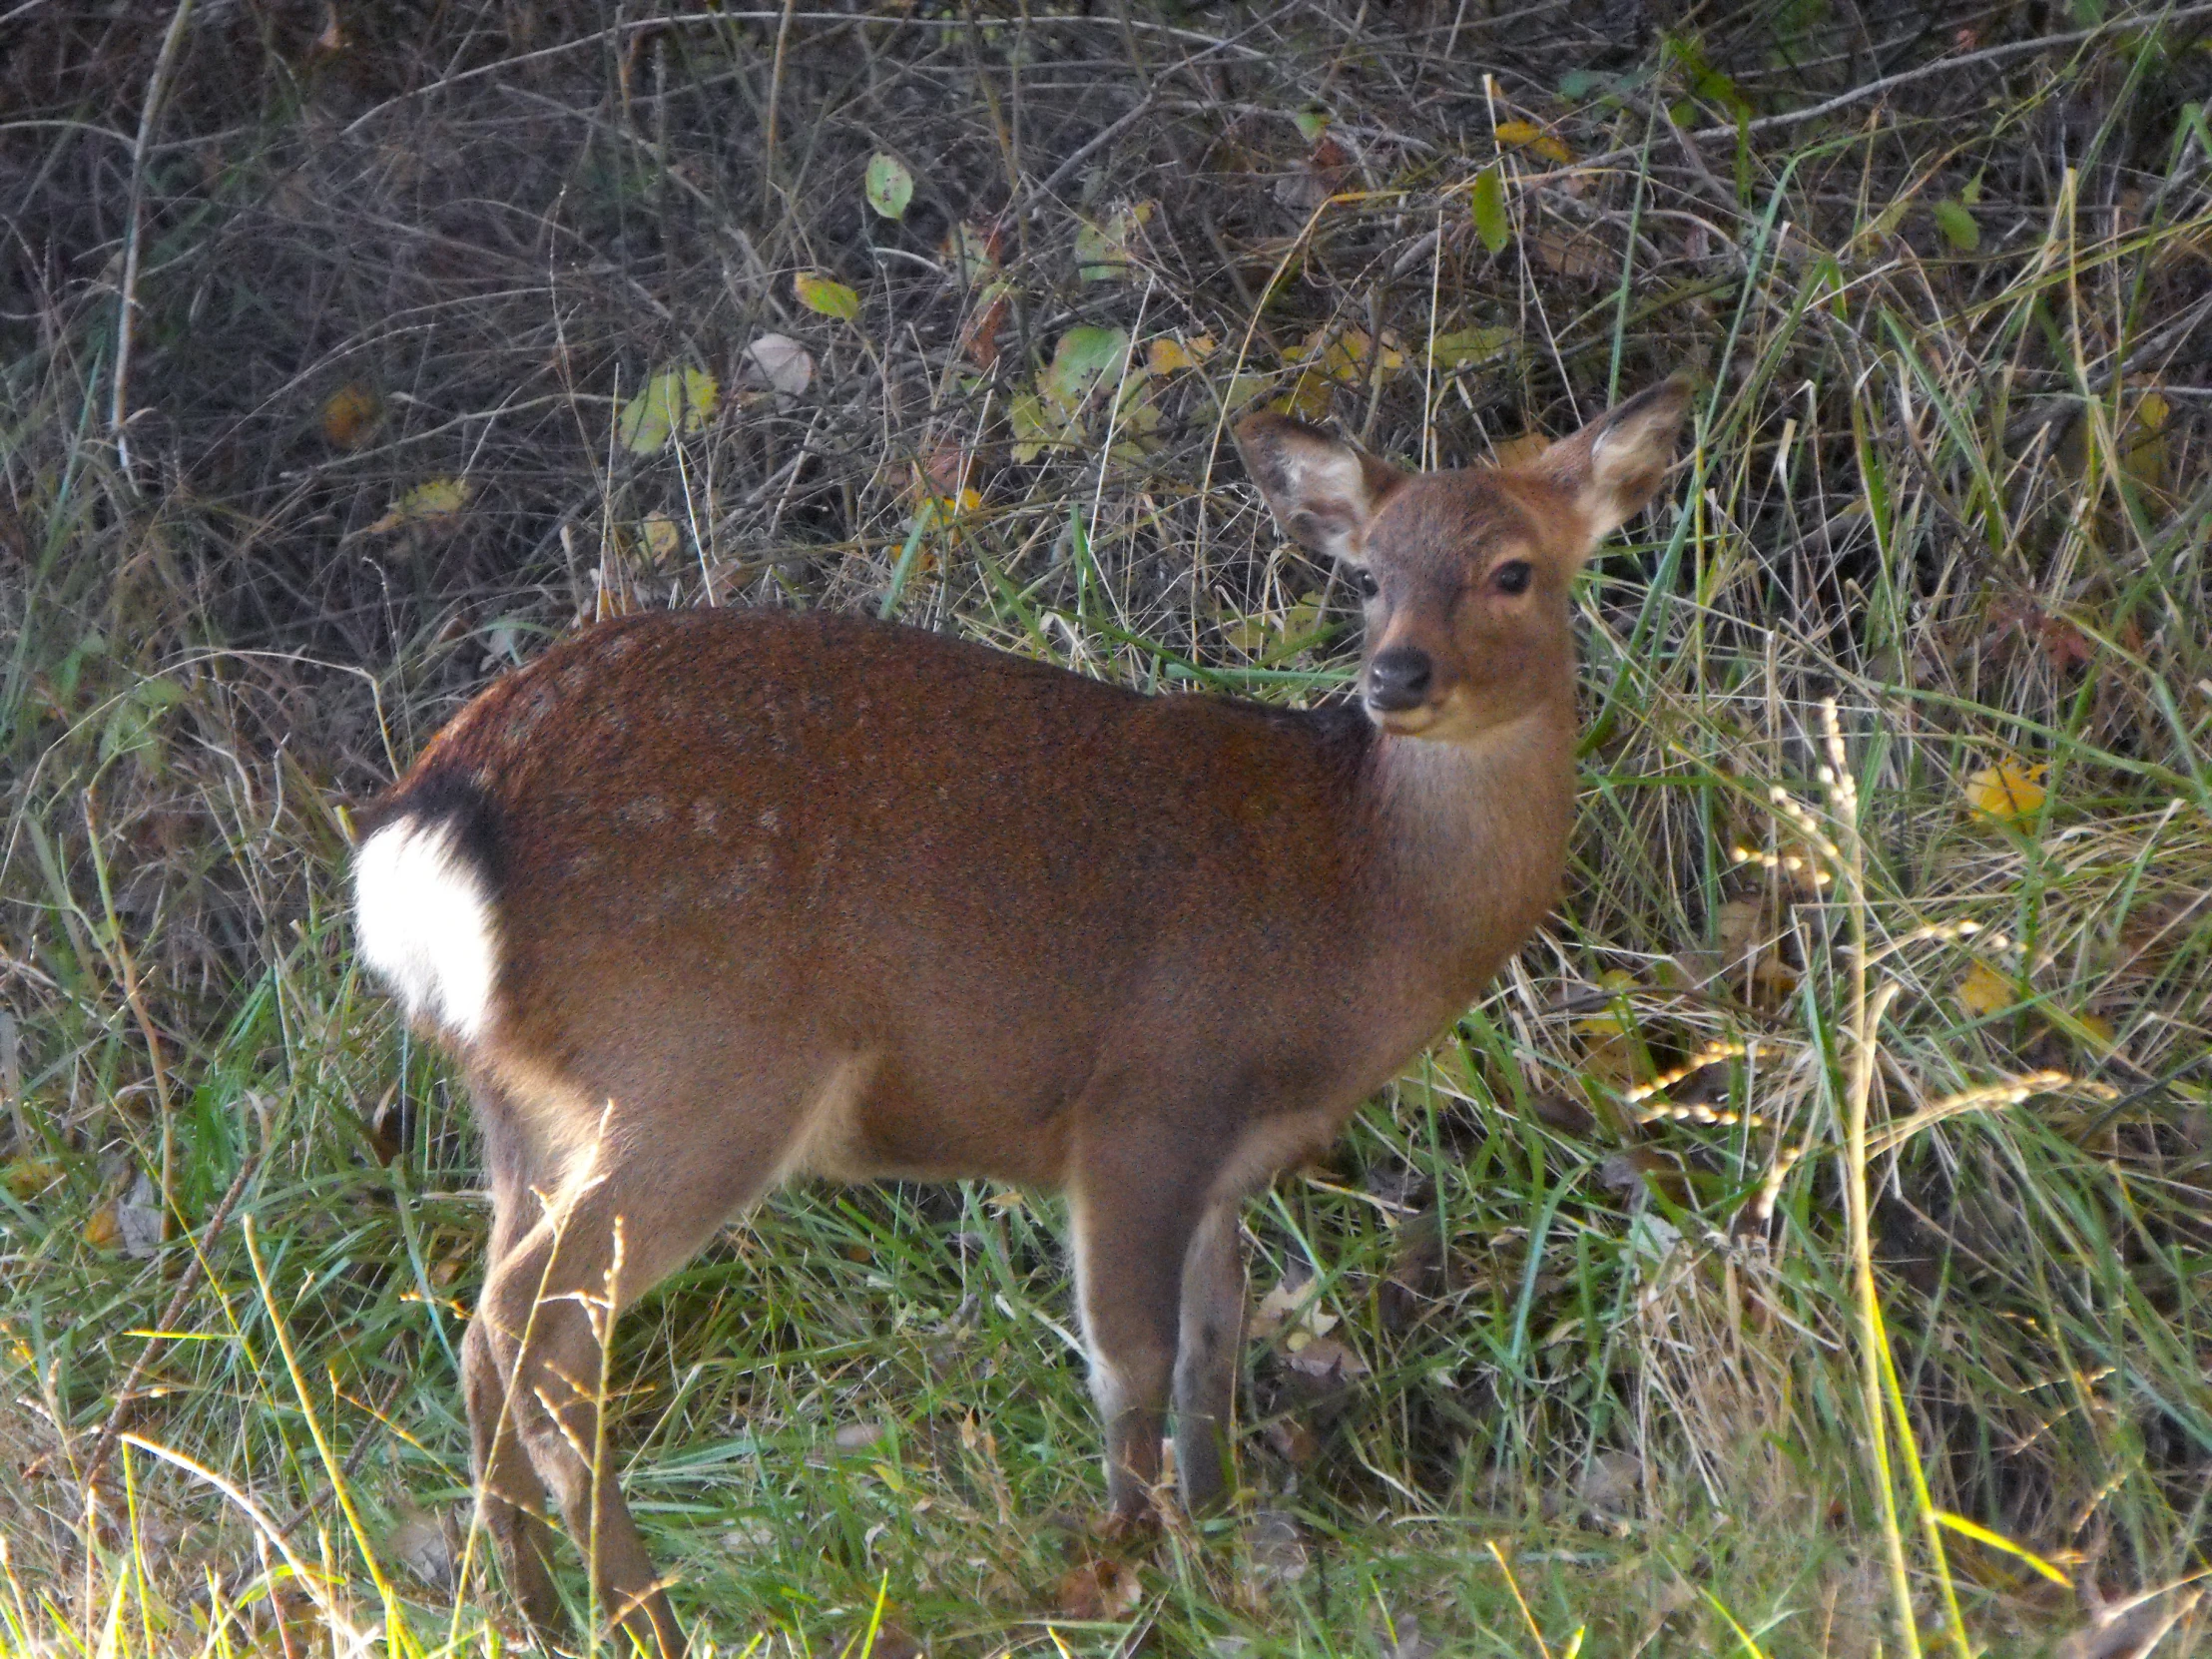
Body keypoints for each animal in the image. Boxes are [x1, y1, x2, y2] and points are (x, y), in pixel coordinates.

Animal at [353, 380, 1681, 1659]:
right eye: (1366, 576)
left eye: (1511, 569)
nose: (1393, 678)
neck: (1356, 905)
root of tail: (431, 816)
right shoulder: (1144, 1095)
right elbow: (1129, 1358)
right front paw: (1132, 1568)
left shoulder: (1220, 1151)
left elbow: (1211, 1351)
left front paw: (1214, 1538)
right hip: (698, 1060)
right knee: (538, 1331)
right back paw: (645, 1621)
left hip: (526, 1102)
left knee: (480, 1333)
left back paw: (524, 1614)